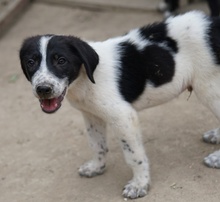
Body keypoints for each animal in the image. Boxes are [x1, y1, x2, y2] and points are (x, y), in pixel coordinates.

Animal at [18, 10, 220, 198]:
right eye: (31, 62)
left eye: (61, 61)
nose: (43, 89)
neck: (85, 80)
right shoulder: (91, 115)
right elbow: (97, 144)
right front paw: (96, 167)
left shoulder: (124, 117)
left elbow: (134, 155)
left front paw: (139, 185)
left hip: (209, 88)